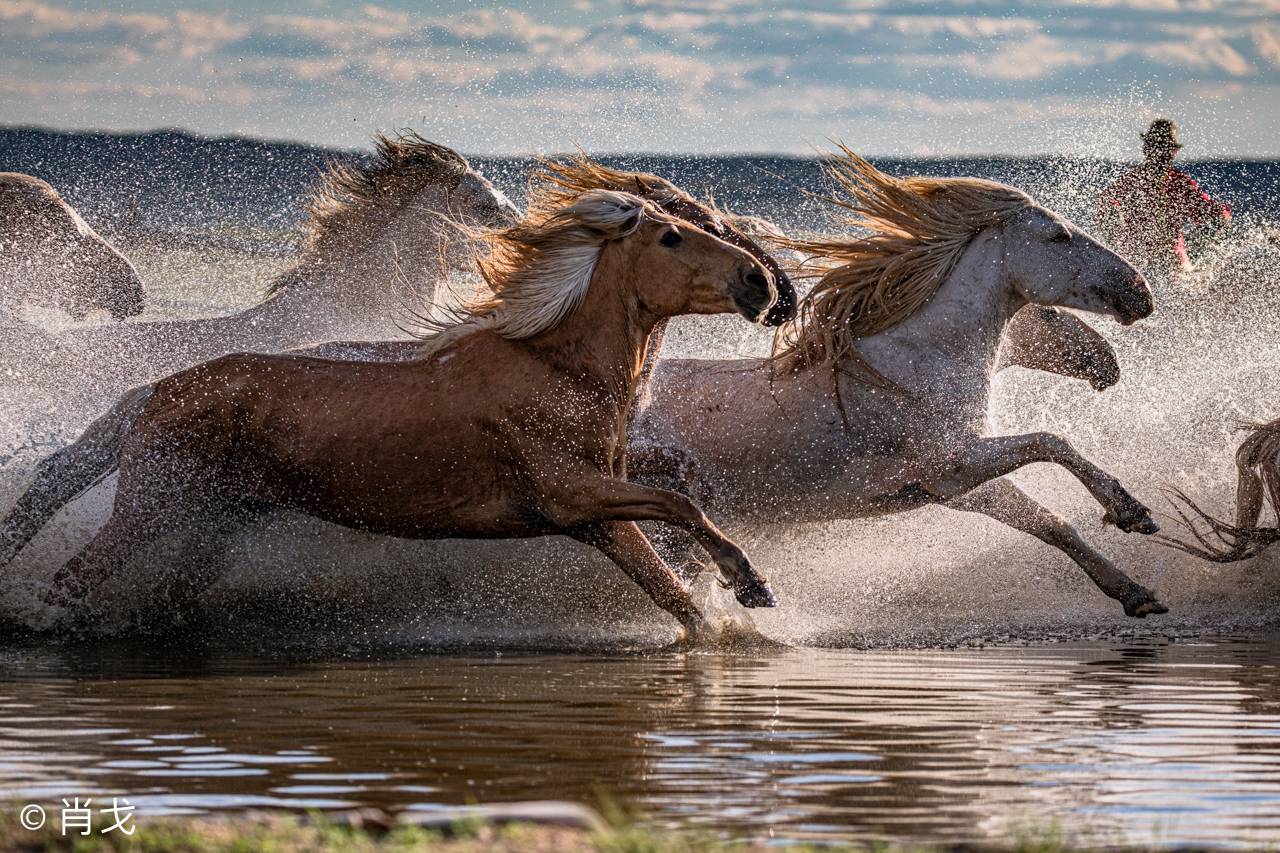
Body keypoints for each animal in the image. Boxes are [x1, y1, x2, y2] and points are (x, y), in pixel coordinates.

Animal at [629, 149, 1172, 617]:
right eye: (1058, 236)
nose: (1140, 293)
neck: (920, 360)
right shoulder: (951, 464)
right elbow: (1051, 441)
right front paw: (1129, 510)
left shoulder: (958, 486)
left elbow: (1051, 523)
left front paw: (1136, 591)